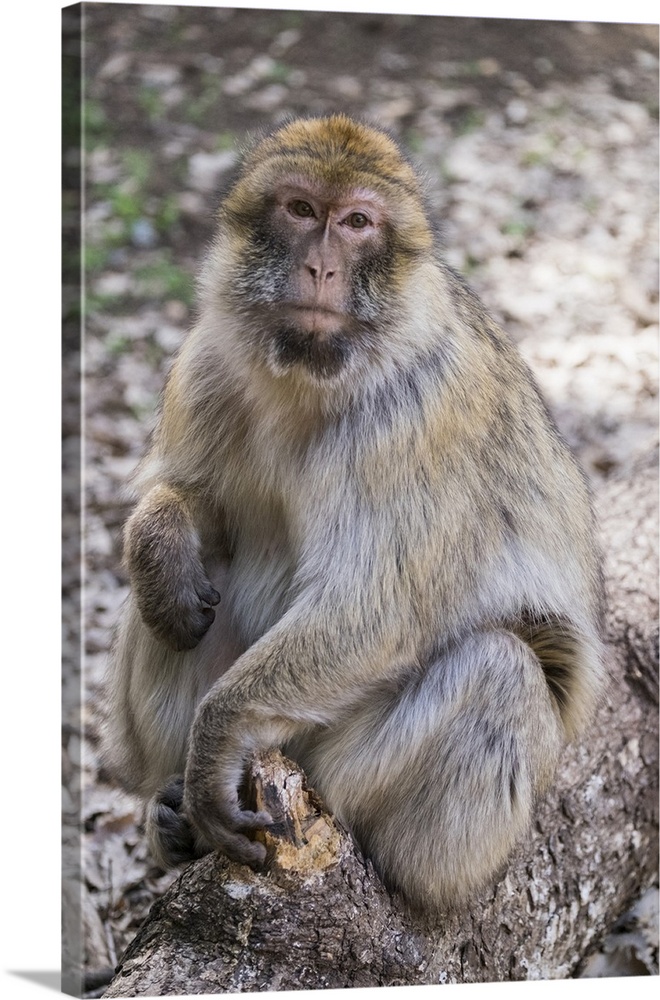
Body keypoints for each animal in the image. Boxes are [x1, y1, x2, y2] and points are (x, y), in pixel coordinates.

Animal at [104, 113, 604, 912]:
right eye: (302, 210)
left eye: (358, 223)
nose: (321, 267)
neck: (309, 378)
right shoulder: (206, 363)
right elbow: (198, 509)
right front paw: (160, 541)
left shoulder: (415, 418)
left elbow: (377, 607)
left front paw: (214, 744)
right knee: (186, 598)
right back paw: (169, 811)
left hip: (369, 785)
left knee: (500, 666)